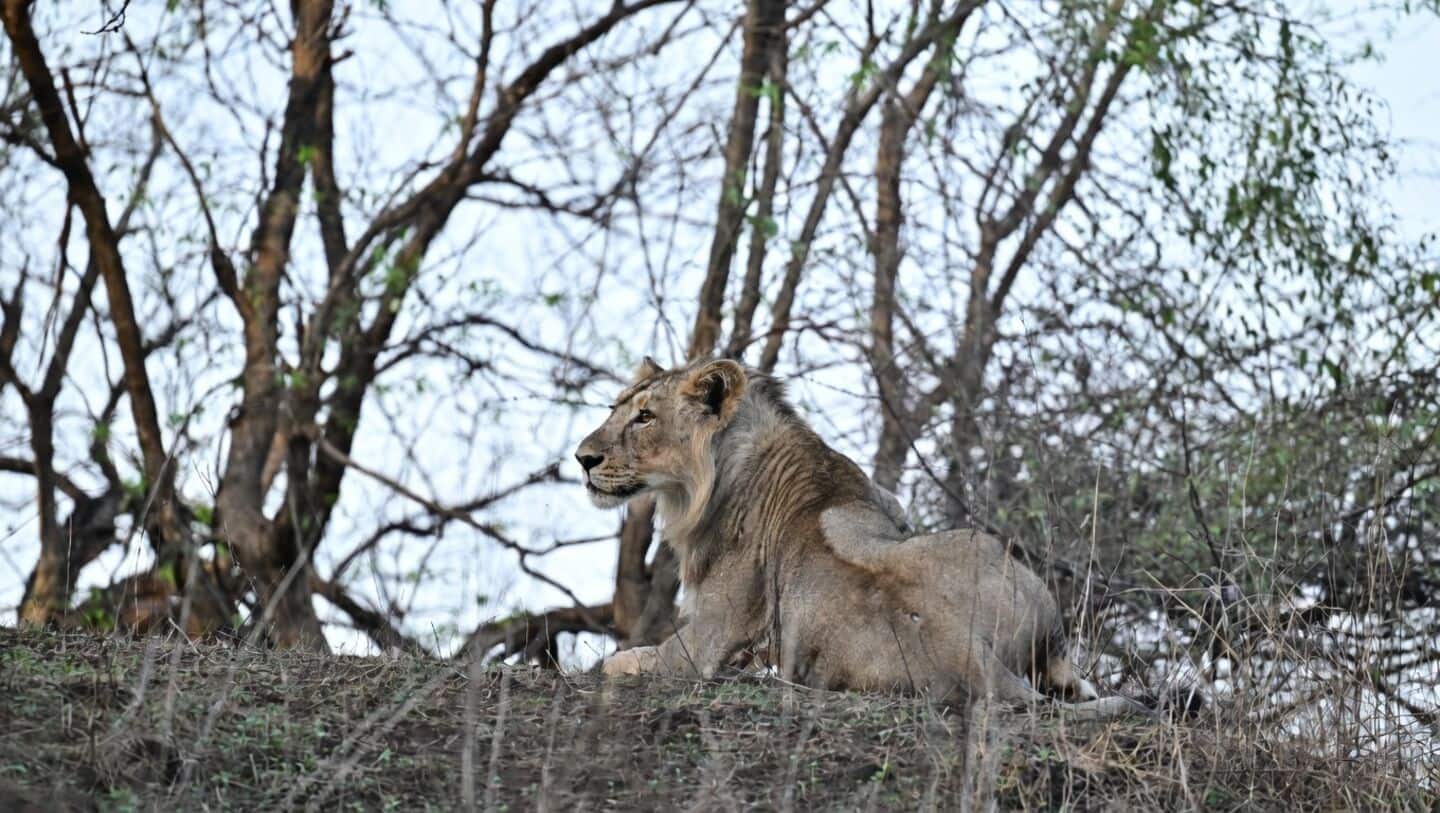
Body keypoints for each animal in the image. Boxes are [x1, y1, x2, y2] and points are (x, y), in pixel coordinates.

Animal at [576, 356, 1148, 718]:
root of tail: (970, 656)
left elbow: (627, 661)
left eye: (645, 416)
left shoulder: (712, 639)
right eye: (616, 408)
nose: (582, 458)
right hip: (997, 561)